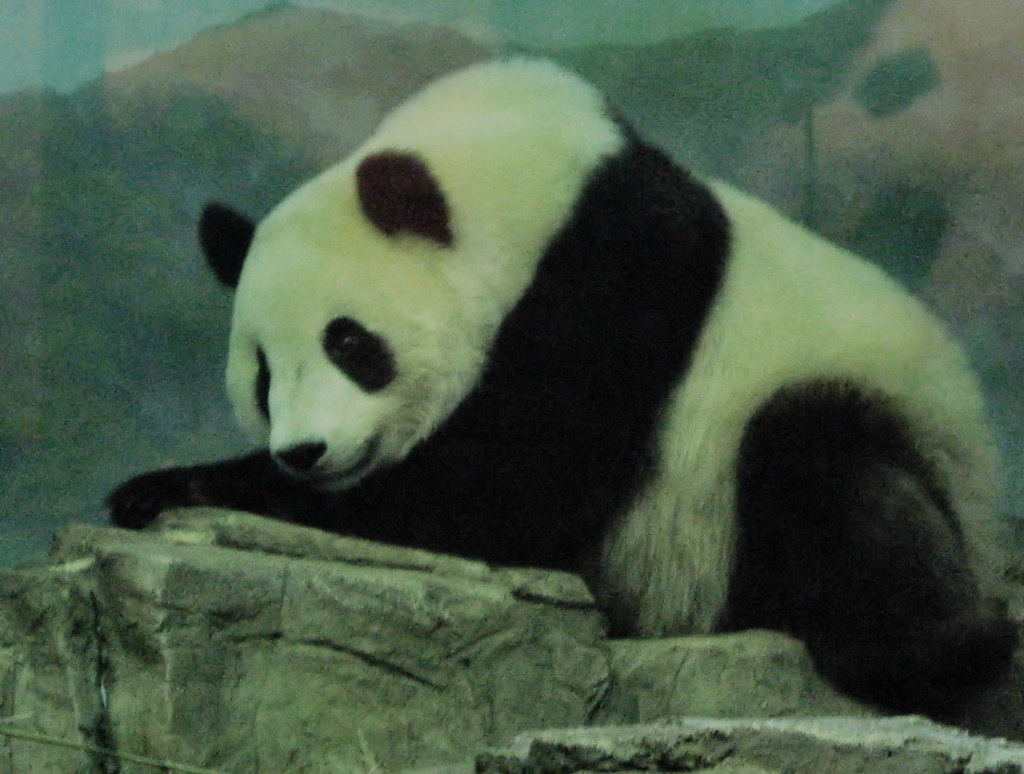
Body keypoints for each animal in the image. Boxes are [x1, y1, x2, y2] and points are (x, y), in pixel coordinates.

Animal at [109, 57, 1016, 714]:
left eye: (350, 343)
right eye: (263, 375)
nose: (303, 453)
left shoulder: (619, 274)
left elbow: (510, 482)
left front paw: (176, 486)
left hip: (836, 440)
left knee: (827, 466)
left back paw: (939, 648)